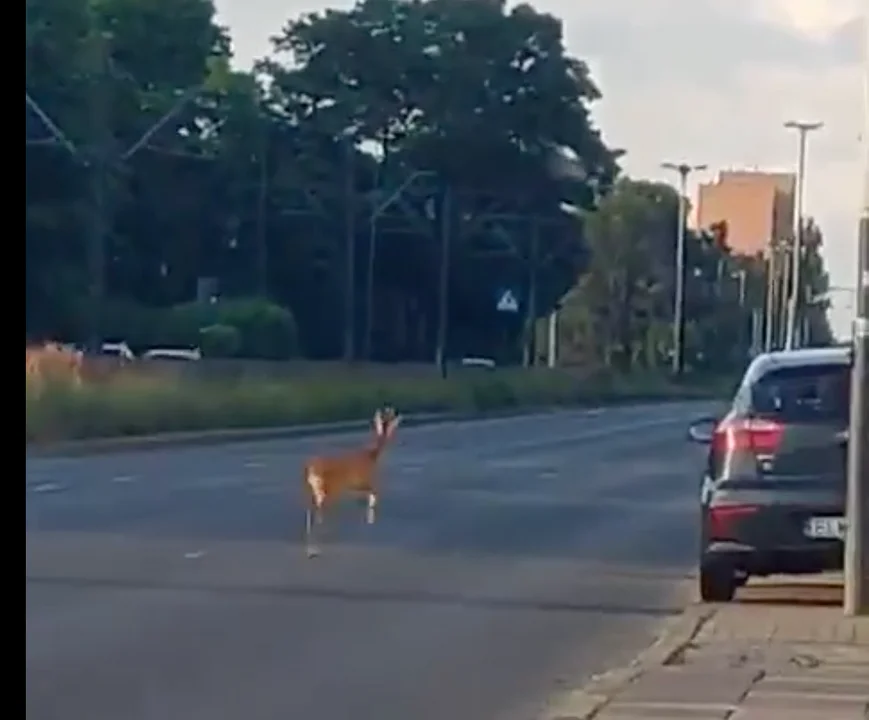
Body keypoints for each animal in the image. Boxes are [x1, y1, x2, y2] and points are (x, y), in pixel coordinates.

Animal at [304, 404, 402, 556]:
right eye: (390, 428)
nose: (391, 440)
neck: (371, 455)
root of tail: (311, 469)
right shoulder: (363, 480)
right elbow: (375, 492)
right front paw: (371, 511)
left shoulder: (357, 485)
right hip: (328, 487)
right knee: (321, 506)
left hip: (317, 488)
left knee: (313, 506)